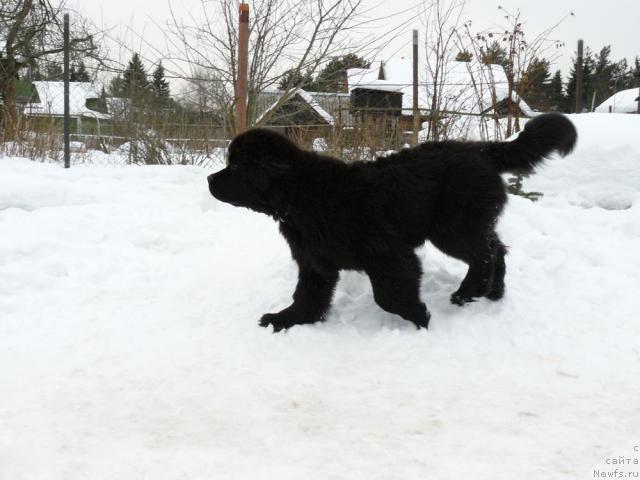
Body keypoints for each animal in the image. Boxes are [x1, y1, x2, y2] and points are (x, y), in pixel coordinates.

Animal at [208, 113, 576, 332]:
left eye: (237, 166)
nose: (210, 179)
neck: (303, 194)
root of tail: (482, 151)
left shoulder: (389, 253)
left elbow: (388, 296)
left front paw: (419, 316)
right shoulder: (314, 261)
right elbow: (308, 295)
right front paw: (289, 318)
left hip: (452, 228)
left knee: (485, 254)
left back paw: (468, 292)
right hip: (469, 223)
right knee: (497, 249)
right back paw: (491, 293)